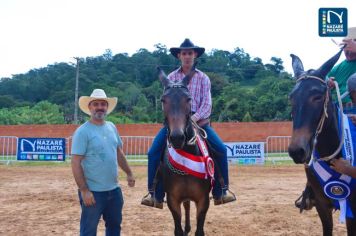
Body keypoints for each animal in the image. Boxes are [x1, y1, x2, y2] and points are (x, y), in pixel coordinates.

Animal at [158, 63, 213, 235]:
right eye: (163, 100)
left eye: (188, 99)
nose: (177, 137)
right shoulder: (173, 200)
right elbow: (178, 229)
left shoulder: (203, 200)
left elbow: (199, 230)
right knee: (187, 205)